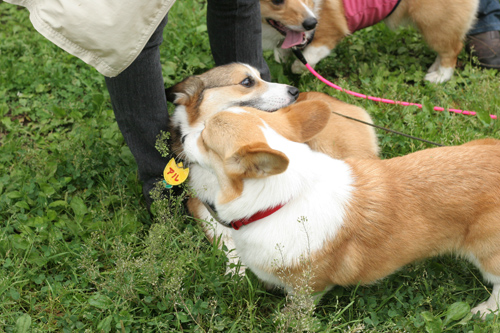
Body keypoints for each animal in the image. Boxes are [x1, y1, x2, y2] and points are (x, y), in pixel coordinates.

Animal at [178, 104, 500, 316]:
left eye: (205, 139)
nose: (179, 137)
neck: (282, 201)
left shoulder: (308, 289)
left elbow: (297, 310)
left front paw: (284, 320)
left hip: (488, 254)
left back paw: (484, 311)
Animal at [260, 0, 478, 82]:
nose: (312, 23)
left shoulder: (330, 31)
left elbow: (308, 56)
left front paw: (299, 66)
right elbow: (283, 52)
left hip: (433, 21)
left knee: (452, 49)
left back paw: (440, 76)